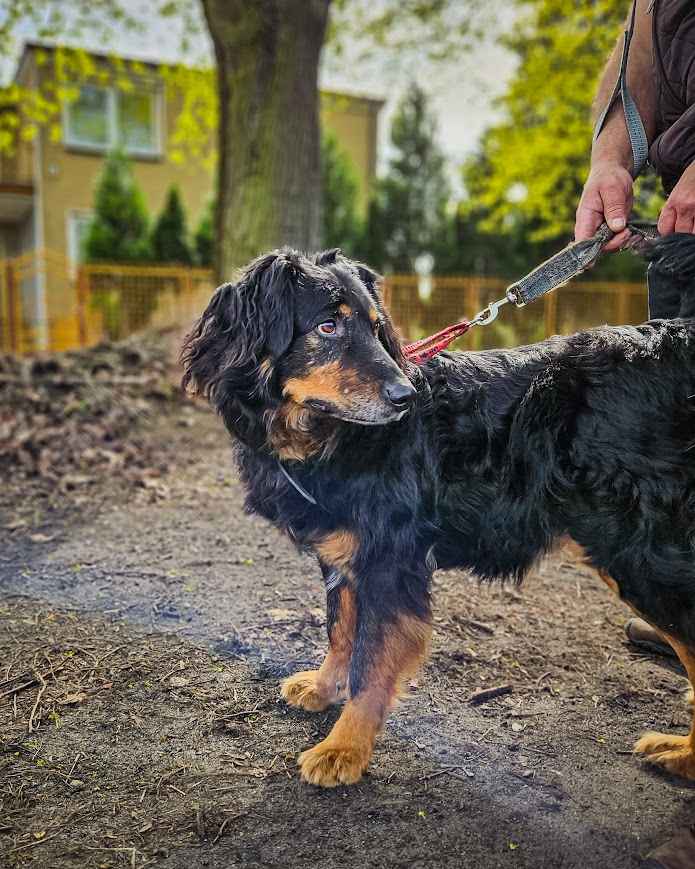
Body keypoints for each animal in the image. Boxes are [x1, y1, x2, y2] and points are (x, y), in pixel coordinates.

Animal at [181, 237, 695, 788]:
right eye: (327, 327)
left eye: (374, 326)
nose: (405, 397)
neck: (329, 434)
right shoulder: (348, 554)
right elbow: (340, 630)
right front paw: (324, 689)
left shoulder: (390, 560)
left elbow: (371, 661)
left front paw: (345, 748)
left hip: (637, 553)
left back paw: (684, 755)